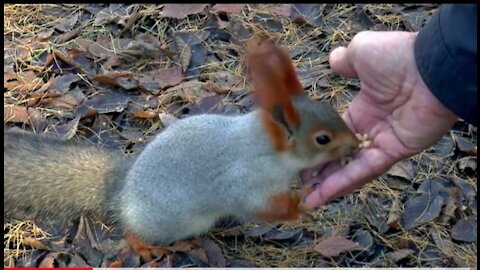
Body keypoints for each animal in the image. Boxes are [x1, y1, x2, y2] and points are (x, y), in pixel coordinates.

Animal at [2, 34, 356, 260]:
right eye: (322, 138)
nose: (354, 144)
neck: (264, 148)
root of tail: (121, 190)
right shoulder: (242, 182)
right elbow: (258, 206)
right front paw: (300, 204)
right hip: (165, 220)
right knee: (133, 231)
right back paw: (144, 246)